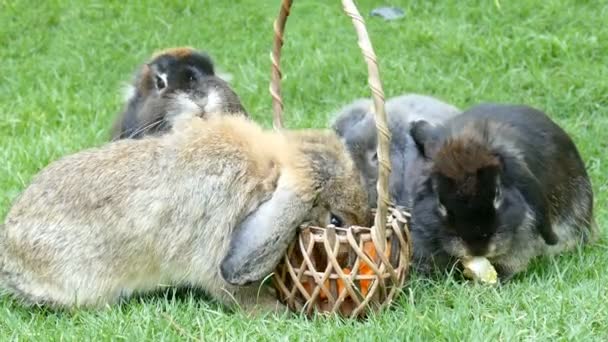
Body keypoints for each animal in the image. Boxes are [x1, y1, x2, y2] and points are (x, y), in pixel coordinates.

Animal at [0, 113, 370, 312]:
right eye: (335, 220)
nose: (349, 256)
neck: (267, 170)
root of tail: (11, 265)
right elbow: (229, 289)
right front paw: (274, 310)